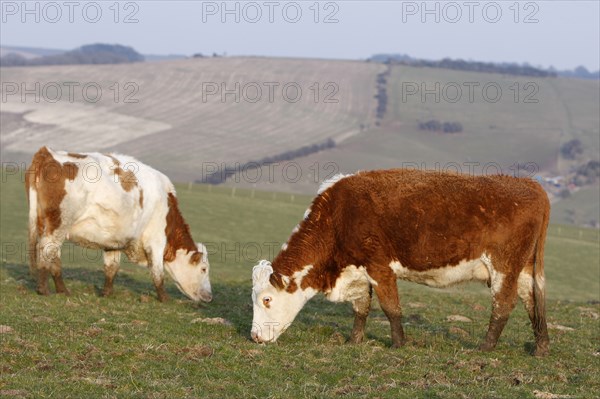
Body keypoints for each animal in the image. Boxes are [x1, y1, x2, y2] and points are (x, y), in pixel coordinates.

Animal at [26, 147, 213, 304]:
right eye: (204, 269)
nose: (210, 296)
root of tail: (47, 152)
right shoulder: (156, 241)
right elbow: (157, 273)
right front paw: (165, 299)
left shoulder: (113, 241)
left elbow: (112, 268)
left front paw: (106, 293)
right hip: (58, 224)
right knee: (46, 250)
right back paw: (44, 290)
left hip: (50, 226)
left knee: (54, 256)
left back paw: (62, 290)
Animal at [251, 170, 552, 358]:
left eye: (266, 299)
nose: (254, 336)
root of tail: (531, 185)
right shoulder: (358, 271)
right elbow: (361, 307)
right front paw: (354, 341)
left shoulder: (379, 267)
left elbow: (391, 308)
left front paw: (398, 344)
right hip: (523, 269)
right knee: (533, 303)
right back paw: (540, 347)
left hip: (503, 267)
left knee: (503, 305)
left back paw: (485, 347)